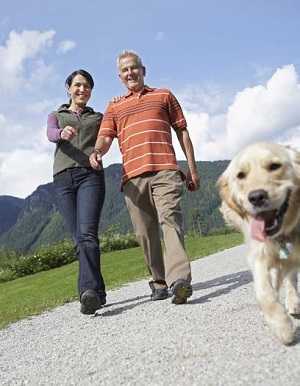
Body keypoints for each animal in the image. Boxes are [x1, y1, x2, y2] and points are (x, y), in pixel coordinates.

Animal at [217, 142, 300, 344]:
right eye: (240, 175)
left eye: (274, 166)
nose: (256, 197)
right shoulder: (259, 256)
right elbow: (264, 292)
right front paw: (281, 325)